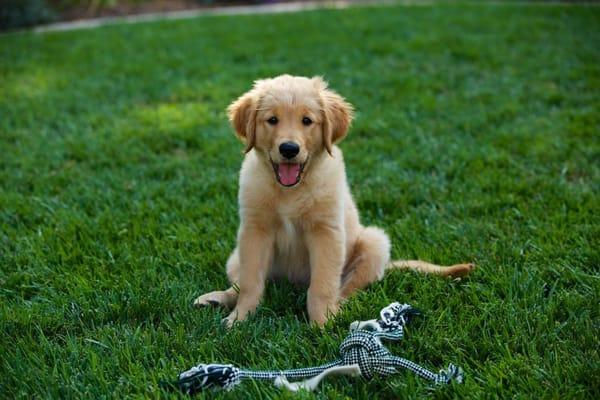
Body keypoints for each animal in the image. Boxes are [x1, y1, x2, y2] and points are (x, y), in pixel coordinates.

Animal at [192, 76, 474, 328]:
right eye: (272, 120)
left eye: (307, 121)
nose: (289, 149)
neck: (291, 191)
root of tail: (292, 283)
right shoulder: (254, 230)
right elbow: (251, 283)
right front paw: (239, 319)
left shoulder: (326, 232)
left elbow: (323, 285)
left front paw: (322, 324)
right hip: (236, 256)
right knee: (241, 283)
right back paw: (216, 299)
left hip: (375, 243)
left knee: (348, 288)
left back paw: (340, 310)